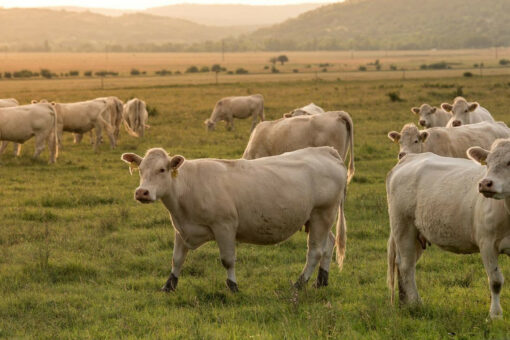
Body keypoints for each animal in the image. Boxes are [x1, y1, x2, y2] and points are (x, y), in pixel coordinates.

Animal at [121, 147, 348, 294]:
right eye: (140, 170)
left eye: (162, 169)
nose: (142, 192)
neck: (187, 186)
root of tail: (326, 151)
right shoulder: (182, 229)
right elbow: (177, 259)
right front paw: (169, 285)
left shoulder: (224, 226)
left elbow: (227, 260)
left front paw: (233, 286)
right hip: (318, 219)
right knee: (329, 244)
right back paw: (321, 281)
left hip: (322, 214)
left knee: (315, 251)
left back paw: (299, 284)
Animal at [386, 139, 510, 318]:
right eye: (487, 163)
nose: (485, 183)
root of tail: (409, 158)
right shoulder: (487, 244)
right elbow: (495, 281)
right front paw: (495, 315)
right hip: (403, 225)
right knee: (406, 266)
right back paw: (416, 303)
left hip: (417, 233)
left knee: (404, 264)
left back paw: (405, 303)